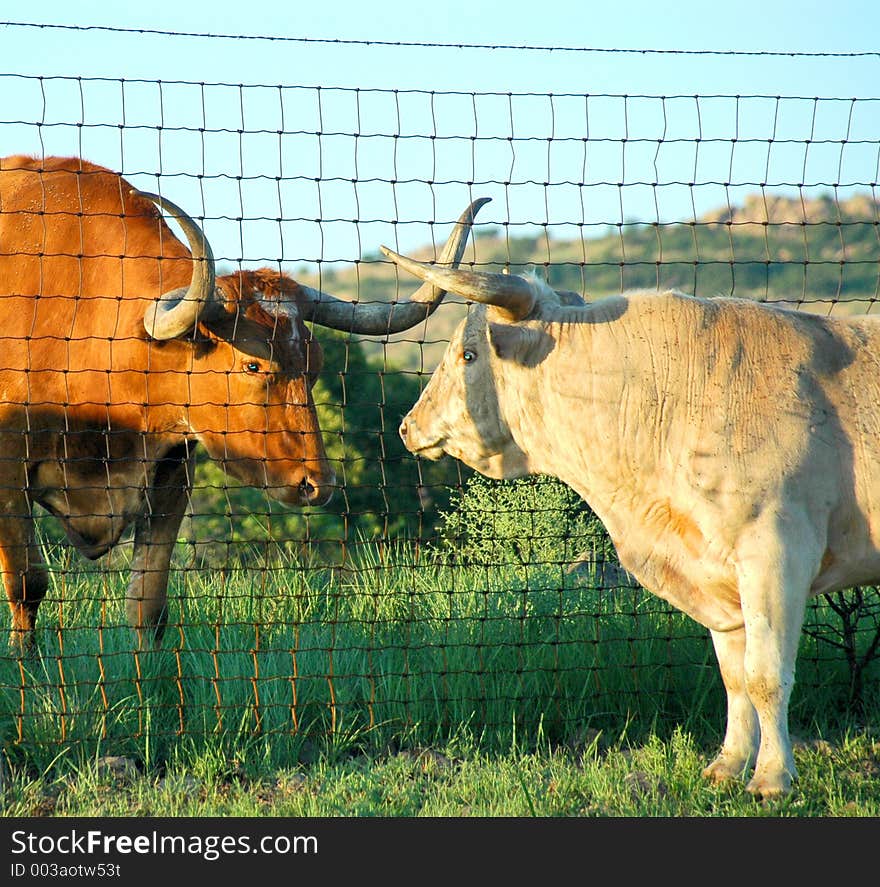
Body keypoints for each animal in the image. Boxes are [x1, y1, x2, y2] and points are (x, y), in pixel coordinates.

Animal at [0, 156, 488, 648]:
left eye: (316, 362)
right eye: (253, 366)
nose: (316, 484)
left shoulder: (171, 473)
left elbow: (148, 605)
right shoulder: (9, 471)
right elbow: (28, 583)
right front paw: (27, 663)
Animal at [380, 245, 880, 804]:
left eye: (468, 355)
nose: (408, 426)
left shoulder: (776, 552)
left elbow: (765, 674)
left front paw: (771, 777)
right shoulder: (718, 574)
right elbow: (734, 677)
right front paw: (727, 765)